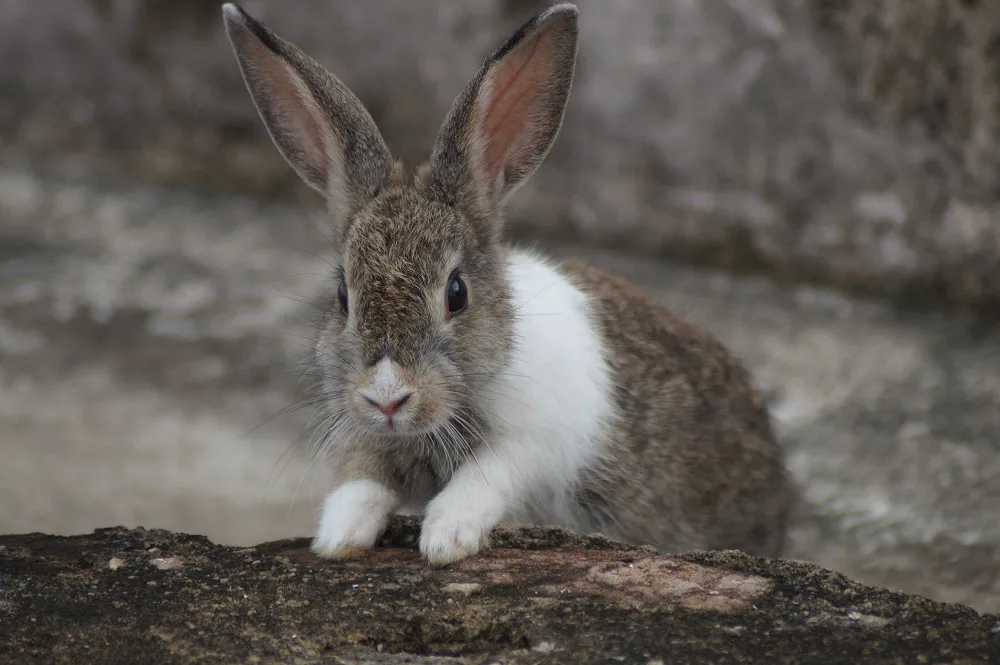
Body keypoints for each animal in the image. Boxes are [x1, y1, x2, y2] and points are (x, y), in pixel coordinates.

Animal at [223, 1, 792, 564]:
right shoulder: (363, 435)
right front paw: (338, 537)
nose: (387, 399)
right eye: (344, 296)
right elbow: (362, 480)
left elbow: (486, 475)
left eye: (456, 294)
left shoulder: (534, 441)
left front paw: (446, 539)